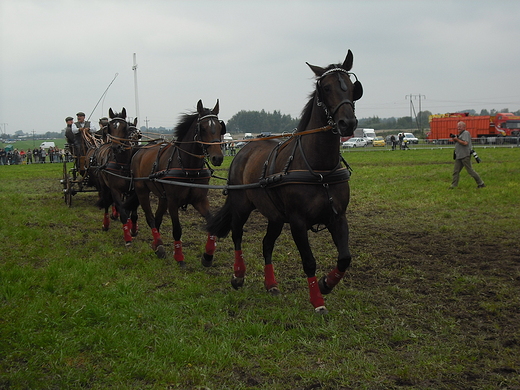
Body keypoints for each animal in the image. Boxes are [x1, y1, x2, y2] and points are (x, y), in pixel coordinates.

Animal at [90, 108, 141, 245]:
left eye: (124, 127)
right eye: (110, 128)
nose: (116, 147)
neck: (123, 163)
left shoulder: (132, 190)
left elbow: (132, 211)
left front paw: (133, 229)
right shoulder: (115, 190)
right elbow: (122, 211)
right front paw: (127, 237)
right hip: (104, 186)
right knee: (107, 202)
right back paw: (106, 223)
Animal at [126, 99, 225, 266]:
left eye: (220, 127)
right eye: (203, 128)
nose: (217, 157)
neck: (189, 168)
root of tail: (139, 150)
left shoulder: (199, 200)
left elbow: (211, 223)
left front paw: (208, 256)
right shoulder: (173, 202)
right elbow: (177, 230)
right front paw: (179, 257)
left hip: (162, 197)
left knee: (158, 218)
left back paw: (156, 244)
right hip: (142, 191)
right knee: (150, 218)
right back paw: (159, 246)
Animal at [205, 51, 364, 314]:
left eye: (352, 87)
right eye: (326, 88)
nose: (347, 123)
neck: (319, 170)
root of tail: (243, 150)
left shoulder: (338, 216)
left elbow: (345, 258)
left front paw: (326, 283)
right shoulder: (298, 222)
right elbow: (309, 261)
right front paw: (317, 301)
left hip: (276, 217)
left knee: (266, 244)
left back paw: (271, 284)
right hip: (242, 205)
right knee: (237, 235)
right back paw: (238, 275)